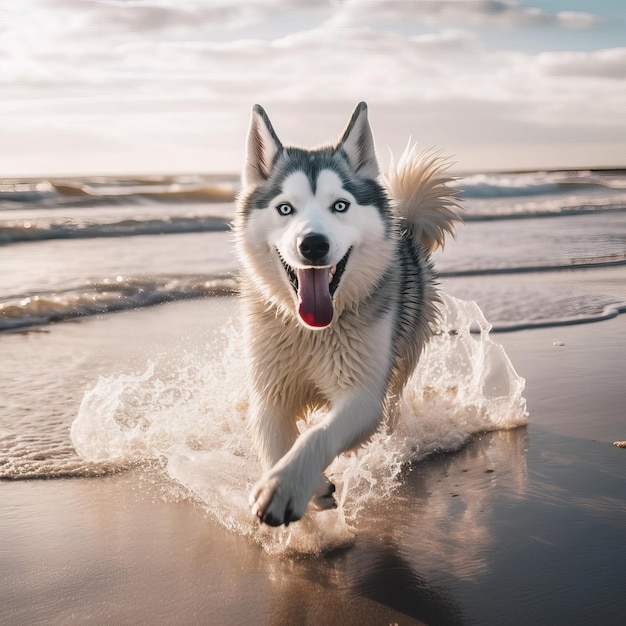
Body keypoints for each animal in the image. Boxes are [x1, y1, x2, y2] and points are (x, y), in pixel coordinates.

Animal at [234, 103, 458, 528]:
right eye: (285, 208)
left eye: (340, 205)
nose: (313, 245)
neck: (312, 331)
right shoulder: (269, 393)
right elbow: (273, 441)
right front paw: (311, 486)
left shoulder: (362, 396)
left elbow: (317, 435)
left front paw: (286, 487)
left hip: (401, 360)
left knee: (393, 403)